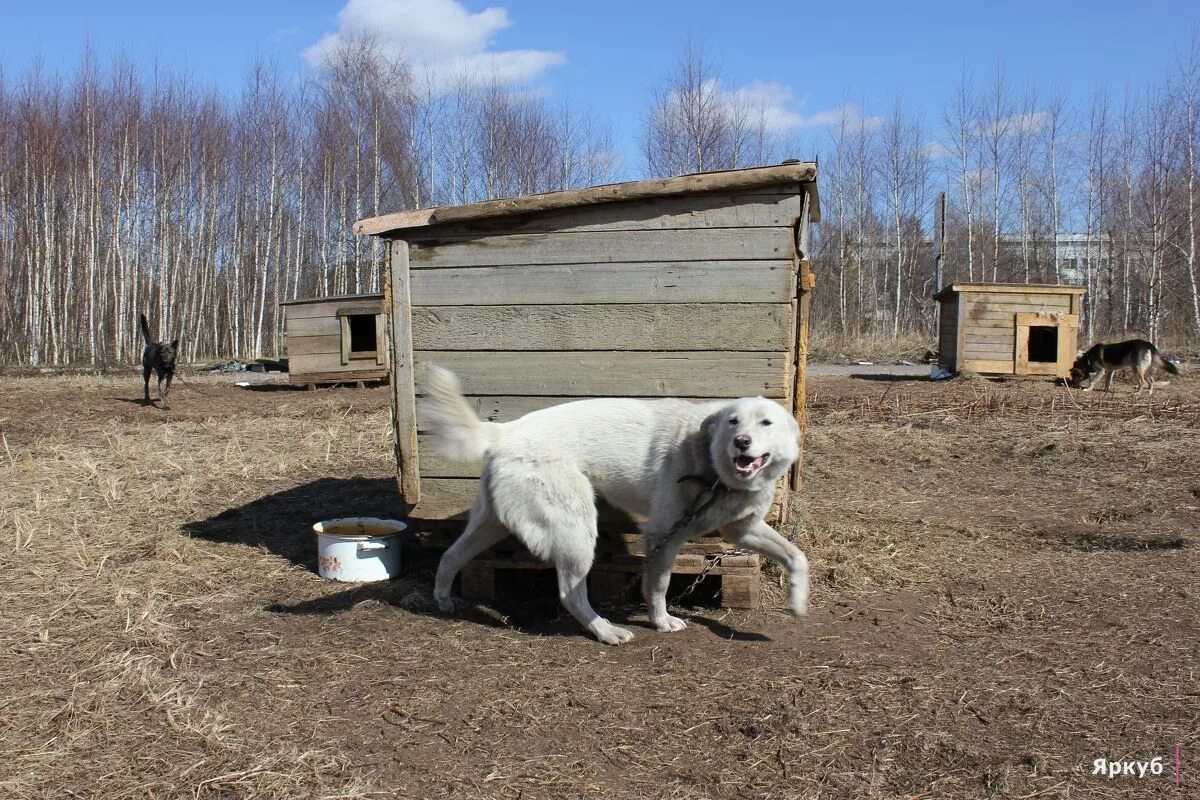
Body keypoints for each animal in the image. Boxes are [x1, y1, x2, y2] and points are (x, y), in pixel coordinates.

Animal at [422, 367, 806, 647]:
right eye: (733, 421)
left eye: (766, 423)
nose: (742, 442)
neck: (711, 465)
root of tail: (507, 430)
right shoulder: (664, 535)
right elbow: (658, 585)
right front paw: (661, 621)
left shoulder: (743, 530)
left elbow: (796, 556)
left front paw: (798, 600)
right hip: (577, 531)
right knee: (570, 593)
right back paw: (606, 631)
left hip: (490, 525)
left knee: (449, 556)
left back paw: (442, 600)